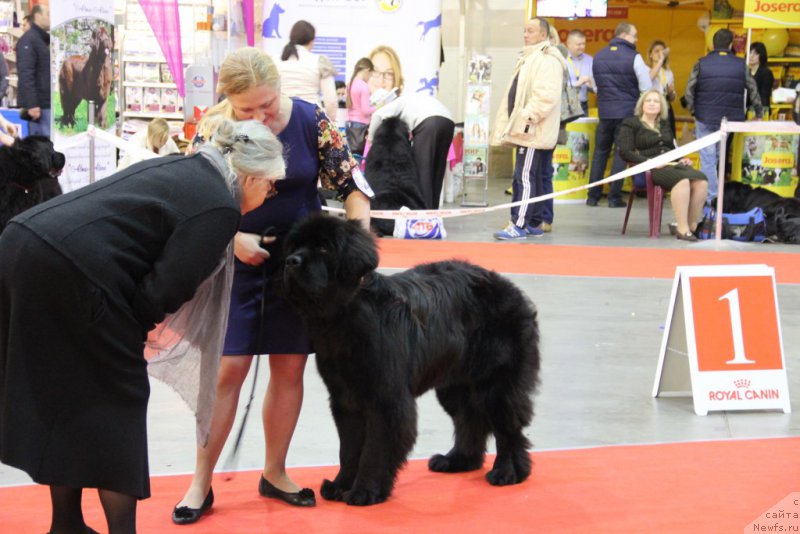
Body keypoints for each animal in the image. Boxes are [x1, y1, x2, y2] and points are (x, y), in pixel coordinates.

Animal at [282, 214, 544, 506]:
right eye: (295, 245)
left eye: (324, 248)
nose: (291, 261)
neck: (344, 313)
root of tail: (511, 290)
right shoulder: (344, 397)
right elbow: (348, 449)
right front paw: (340, 485)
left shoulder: (386, 400)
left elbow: (375, 449)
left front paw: (365, 491)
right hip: (454, 385)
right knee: (469, 418)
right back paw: (458, 460)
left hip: (498, 384)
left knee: (508, 428)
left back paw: (508, 472)